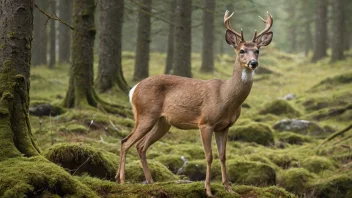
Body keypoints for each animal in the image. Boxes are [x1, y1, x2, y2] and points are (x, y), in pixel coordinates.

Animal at [117, 10, 274, 196]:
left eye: (257, 51)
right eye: (241, 50)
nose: (253, 63)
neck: (226, 97)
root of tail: (133, 89)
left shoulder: (224, 126)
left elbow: (223, 156)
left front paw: (229, 188)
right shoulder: (205, 122)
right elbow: (209, 156)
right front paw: (208, 190)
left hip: (163, 122)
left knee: (141, 146)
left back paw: (150, 181)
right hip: (145, 114)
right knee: (125, 142)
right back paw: (122, 181)